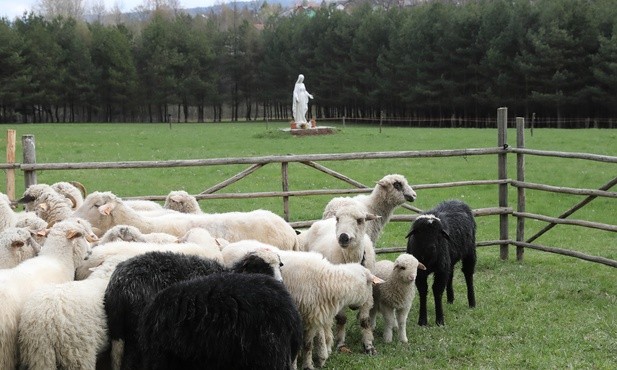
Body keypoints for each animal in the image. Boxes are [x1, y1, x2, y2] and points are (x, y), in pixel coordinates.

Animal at [103, 249, 282, 370]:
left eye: (280, 265)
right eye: (260, 267)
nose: (280, 283)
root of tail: (119, 284)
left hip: (119, 331)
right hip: (138, 332)